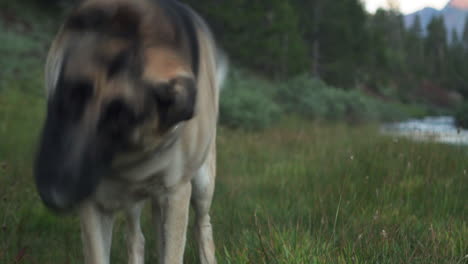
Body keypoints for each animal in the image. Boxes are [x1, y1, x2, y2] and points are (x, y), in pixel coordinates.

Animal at [33, 1, 227, 262]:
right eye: (68, 93)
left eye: (123, 118)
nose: (55, 195)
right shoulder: (94, 202)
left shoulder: (176, 194)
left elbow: (173, 250)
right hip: (131, 201)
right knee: (136, 236)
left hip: (202, 185)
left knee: (202, 224)